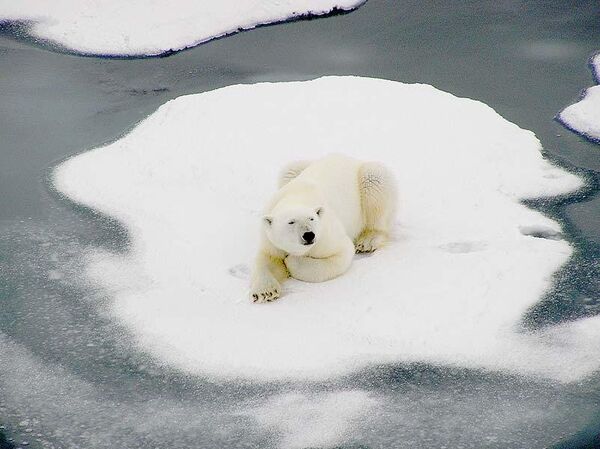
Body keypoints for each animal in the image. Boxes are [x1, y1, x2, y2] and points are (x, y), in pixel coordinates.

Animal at [250, 152, 396, 302]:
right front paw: (265, 292)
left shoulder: (325, 235)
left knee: (375, 182)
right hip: (295, 170)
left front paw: (291, 261)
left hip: (368, 179)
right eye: (291, 222)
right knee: (289, 169)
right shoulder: (269, 237)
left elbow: (339, 254)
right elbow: (267, 258)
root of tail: (350, 158)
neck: (297, 196)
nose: (309, 235)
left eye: (311, 218)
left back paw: (367, 241)